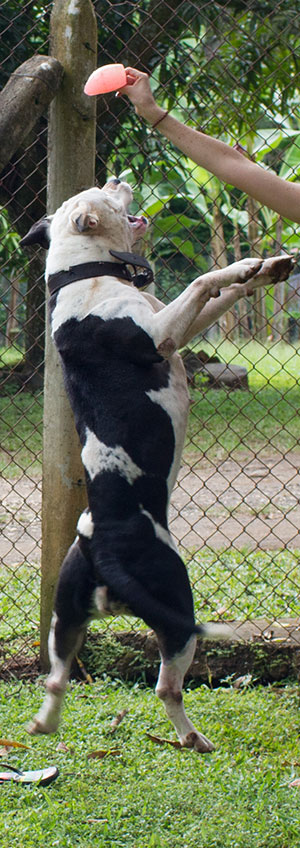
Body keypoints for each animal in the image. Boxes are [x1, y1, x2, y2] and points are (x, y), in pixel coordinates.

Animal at [22, 179, 294, 748]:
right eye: (102, 191)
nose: (119, 178)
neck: (86, 274)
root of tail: (105, 553)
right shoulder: (161, 332)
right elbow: (204, 281)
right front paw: (243, 266)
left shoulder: (176, 326)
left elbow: (220, 297)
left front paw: (266, 268)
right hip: (177, 609)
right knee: (167, 687)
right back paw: (193, 739)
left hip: (64, 616)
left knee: (57, 677)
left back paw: (44, 724)